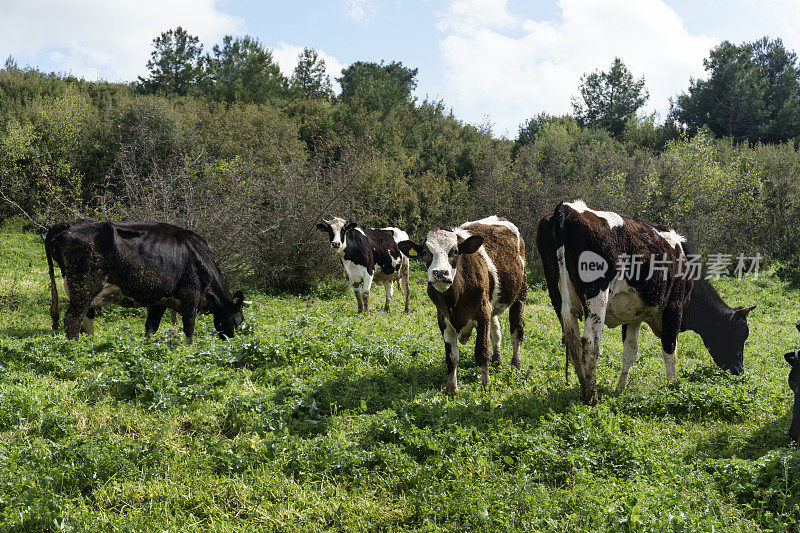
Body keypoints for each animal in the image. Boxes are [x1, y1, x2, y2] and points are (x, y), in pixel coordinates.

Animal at [45, 218, 245, 342]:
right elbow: (190, 332)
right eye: (240, 320)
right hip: (83, 287)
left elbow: (150, 328)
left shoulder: (160, 301)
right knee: (72, 320)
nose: (233, 340)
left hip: (85, 294)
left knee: (85, 322)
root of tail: (68, 225)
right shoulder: (191, 299)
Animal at [398, 214, 524, 392]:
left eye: (455, 251)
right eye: (425, 252)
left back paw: (516, 365)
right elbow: (452, 356)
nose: (440, 273)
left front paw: (486, 386)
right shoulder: (443, 318)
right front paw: (452, 388)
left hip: (520, 292)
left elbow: (481, 352)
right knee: (496, 332)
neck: (454, 298)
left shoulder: (482, 314)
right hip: (491, 305)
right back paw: (497, 363)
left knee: (516, 331)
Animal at [536, 200, 756, 404]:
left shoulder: (633, 315)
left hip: (557, 296)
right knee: (589, 343)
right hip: (597, 294)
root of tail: (567, 208)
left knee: (571, 340)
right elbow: (670, 349)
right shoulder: (674, 308)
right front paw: (673, 386)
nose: (740, 371)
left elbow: (630, 351)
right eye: (739, 335)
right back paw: (592, 397)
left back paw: (584, 389)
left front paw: (620, 388)